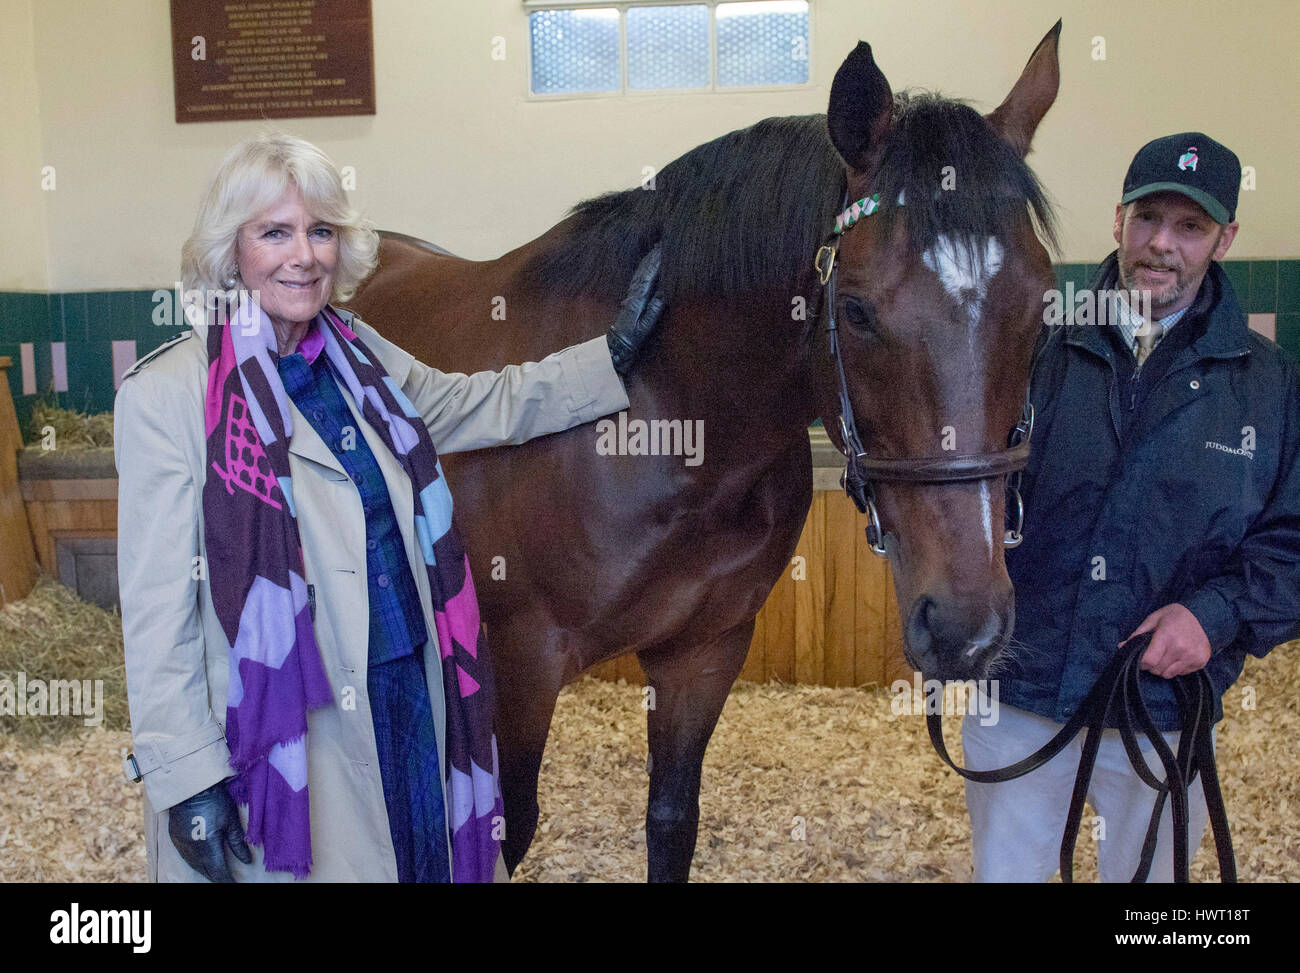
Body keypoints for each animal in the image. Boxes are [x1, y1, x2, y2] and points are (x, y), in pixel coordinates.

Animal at [345, 22, 1066, 879]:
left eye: (1042, 308)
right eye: (857, 312)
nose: (965, 628)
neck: (662, 421)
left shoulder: (703, 653)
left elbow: (670, 822)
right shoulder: (519, 663)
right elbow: (504, 830)